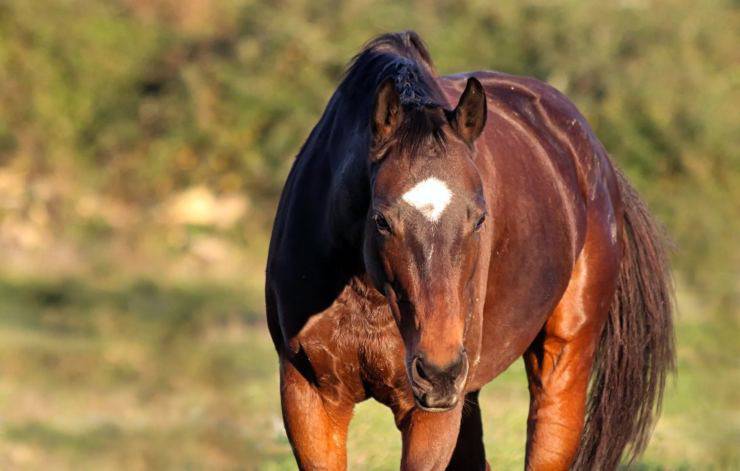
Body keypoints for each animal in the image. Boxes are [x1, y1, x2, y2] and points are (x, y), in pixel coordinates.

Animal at [266, 31, 676, 470]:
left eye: (480, 218)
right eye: (381, 220)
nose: (438, 371)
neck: (366, 296)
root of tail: (594, 155)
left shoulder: (429, 414)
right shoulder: (309, 397)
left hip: (560, 362)